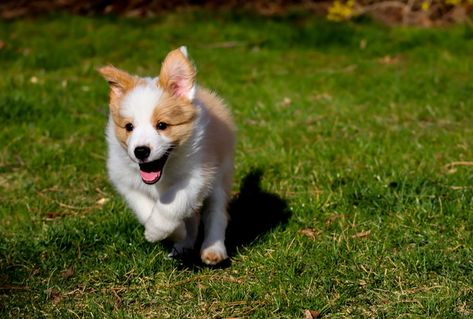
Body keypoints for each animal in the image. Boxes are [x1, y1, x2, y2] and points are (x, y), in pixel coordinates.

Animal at [99, 47, 234, 264]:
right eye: (129, 127)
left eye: (162, 125)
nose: (140, 151)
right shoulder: (126, 181)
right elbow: (145, 208)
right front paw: (176, 232)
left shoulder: (197, 176)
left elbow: (171, 204)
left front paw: (156, 231)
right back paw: (184, 244)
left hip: (221, 175)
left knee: (216, 214)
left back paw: (213, 249)